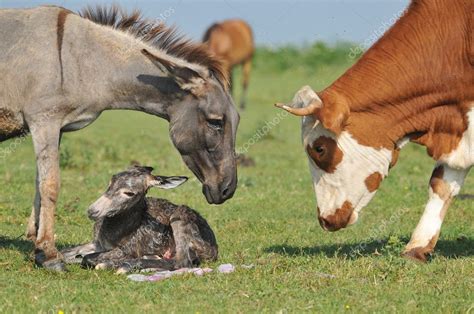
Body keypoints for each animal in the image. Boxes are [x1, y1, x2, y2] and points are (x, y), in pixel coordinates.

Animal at [61, 166, 218, 274]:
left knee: (182, 262)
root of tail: (214, 249)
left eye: (129, 193)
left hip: (180, 218)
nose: (92, 210)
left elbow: (87, 258)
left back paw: (120, 266)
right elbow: (65, 252)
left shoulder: (128, 249)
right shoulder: (96, 243)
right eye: (110, 182)